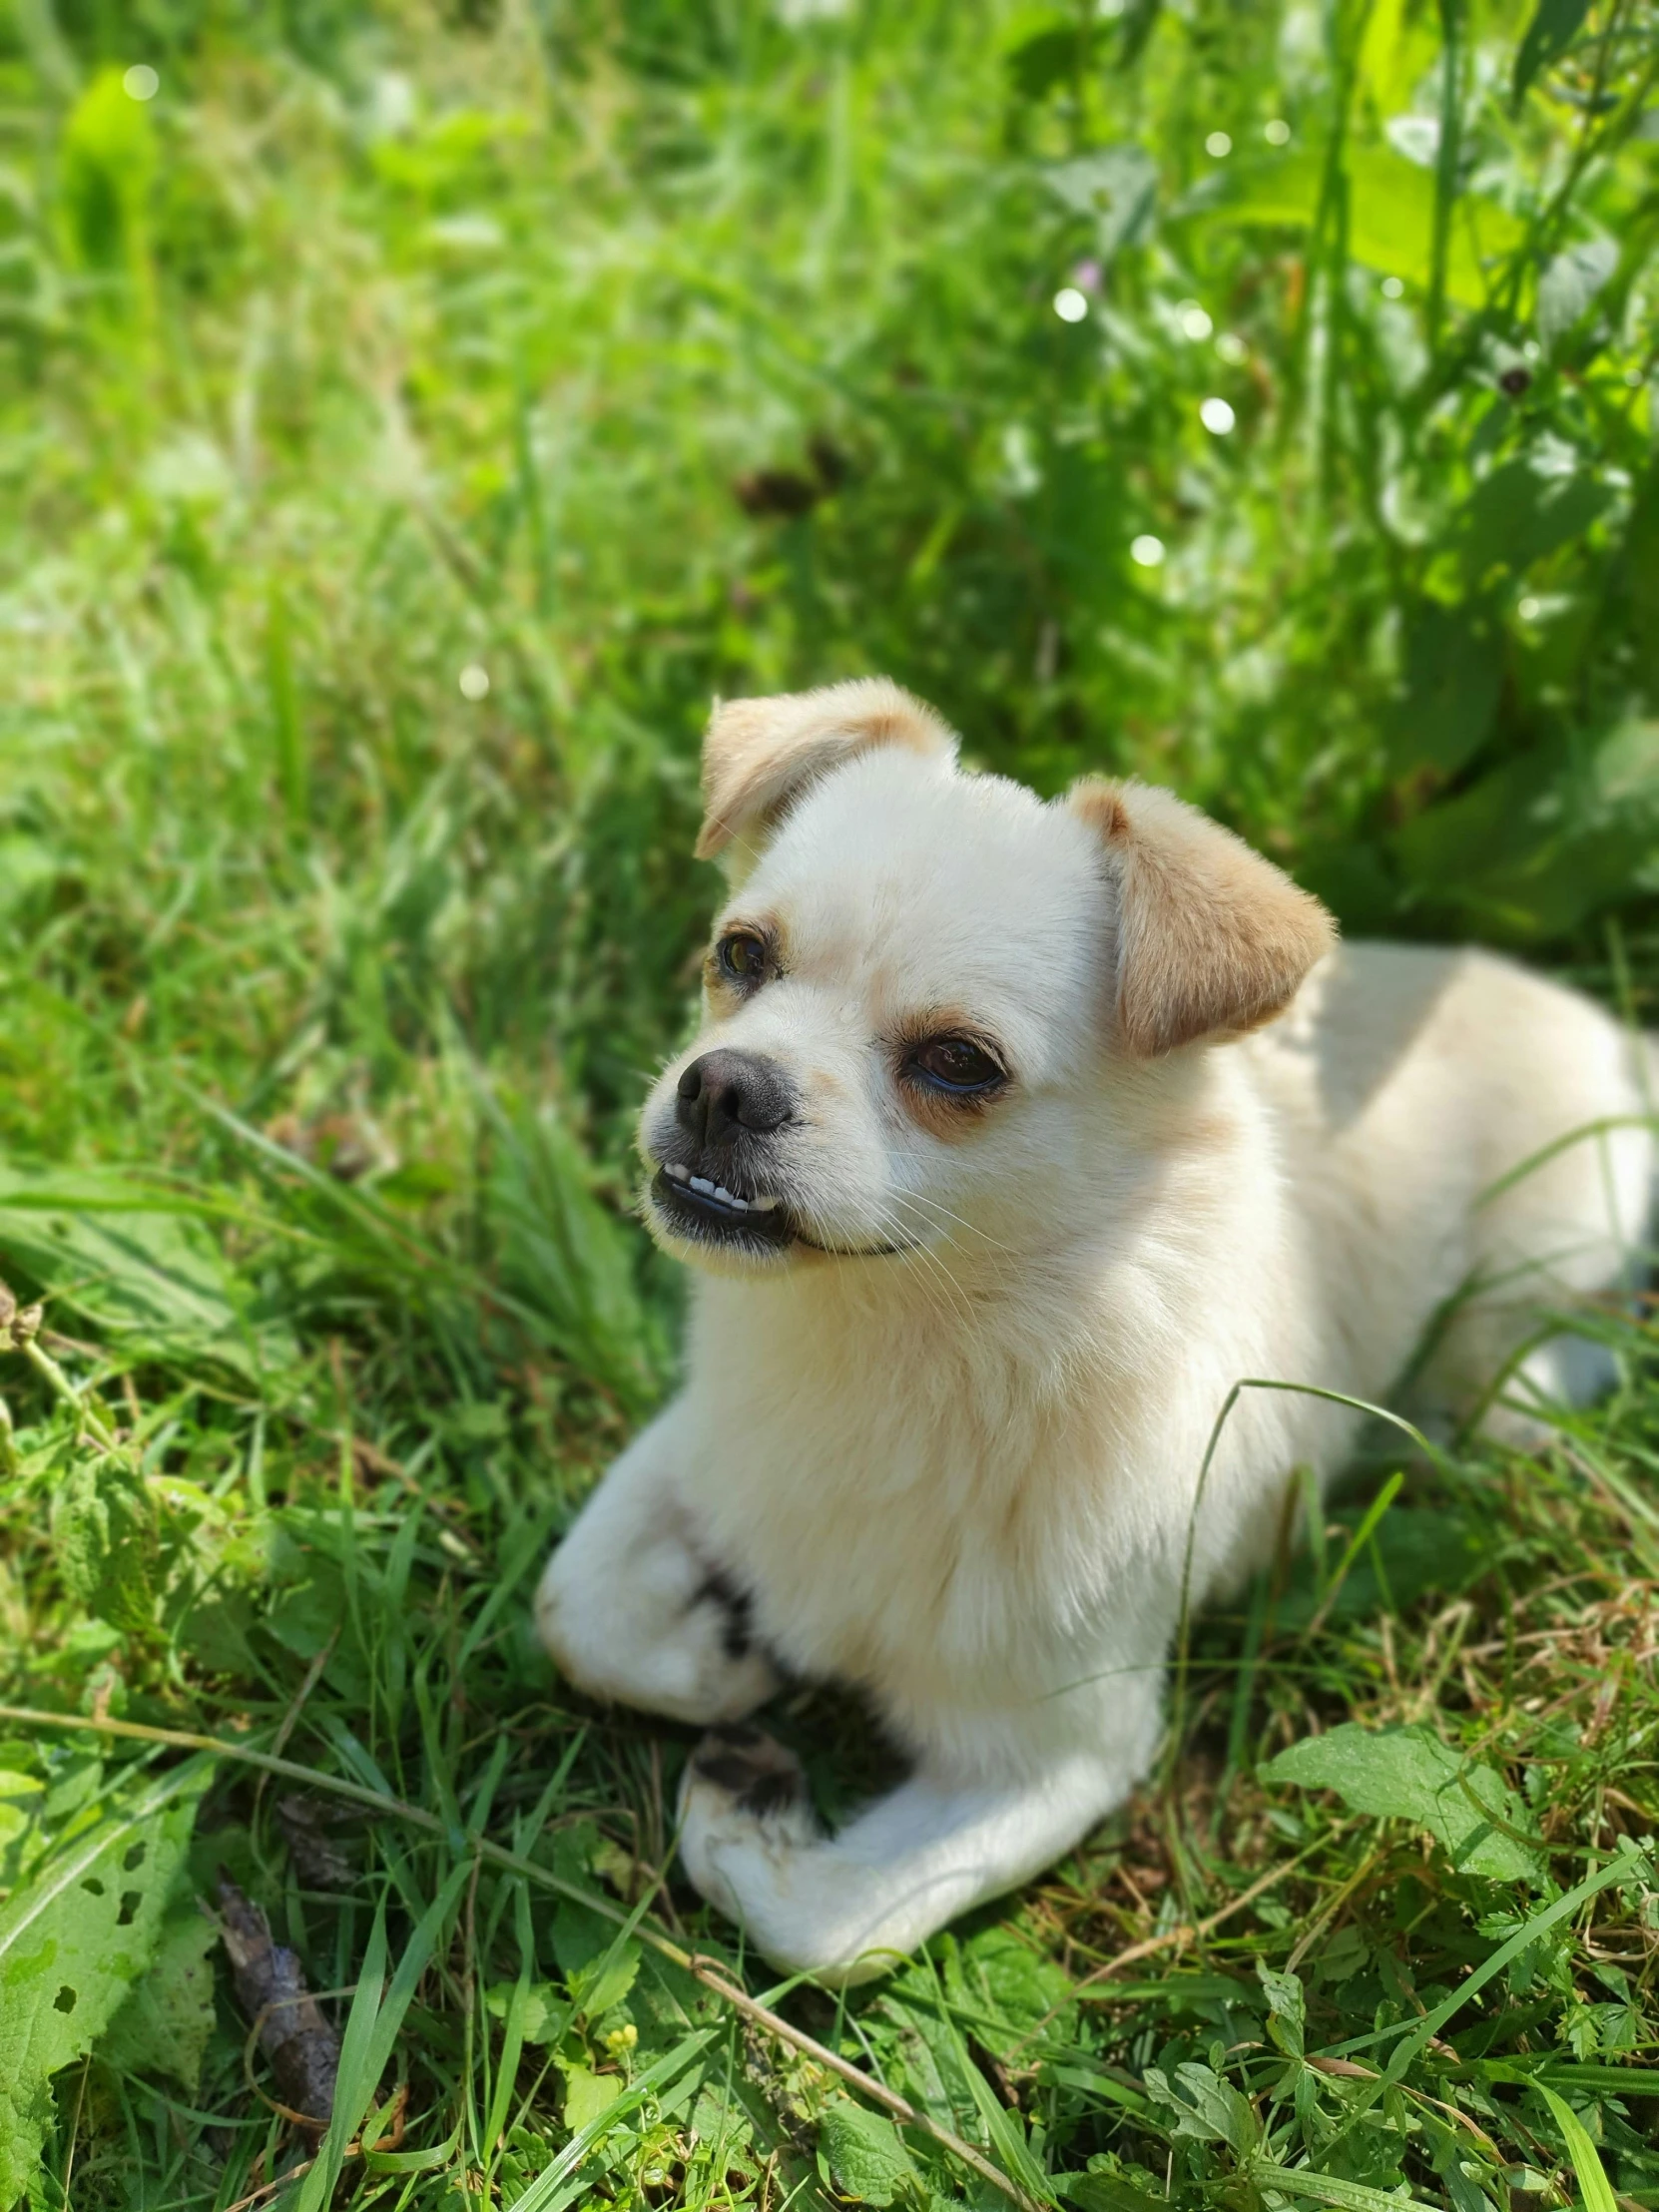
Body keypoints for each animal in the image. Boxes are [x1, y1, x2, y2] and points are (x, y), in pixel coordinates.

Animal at [539, 677, 1654, 1990]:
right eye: (741, 956)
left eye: (959, 1064)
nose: (722, 1084)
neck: (900, 1343)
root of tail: (1609, 1034)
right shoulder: (700, 1445)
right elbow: (578, 1611)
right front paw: (724, 1657)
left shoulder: (1058, 1756)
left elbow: (829, 1927)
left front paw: (748, 1807)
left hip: (1523, 1339)